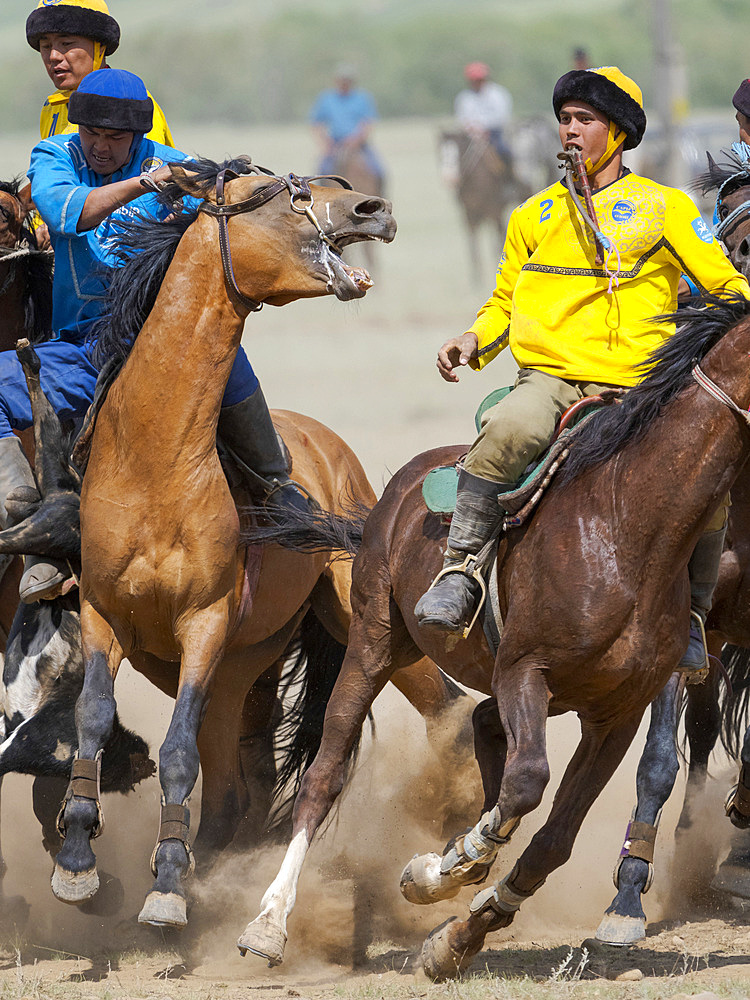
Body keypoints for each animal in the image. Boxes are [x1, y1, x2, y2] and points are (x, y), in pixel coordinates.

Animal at [245, 292, 750, 976]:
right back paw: (269, 922)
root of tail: (401, 485)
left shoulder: (615, 711)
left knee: (484, 724)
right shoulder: (525, 672)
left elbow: (552, 838)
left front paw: (456, 937)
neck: (626, 529)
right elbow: (528, 782)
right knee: (324, 776)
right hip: (376, 643)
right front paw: (445, 868)